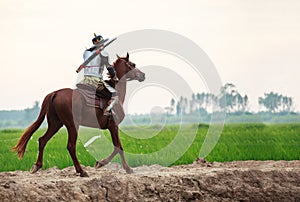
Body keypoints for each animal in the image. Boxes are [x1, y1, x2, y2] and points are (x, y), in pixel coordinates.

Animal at [12, 53, 146, 177]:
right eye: (132, 64)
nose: (143, 75)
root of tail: (55, 93)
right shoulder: (113, 126)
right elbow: (119, 147)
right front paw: (123, 168)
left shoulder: (112, 127)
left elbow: (117, 147)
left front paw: (102, 163)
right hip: (72, 125)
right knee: (70, 146)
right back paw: (81, 171)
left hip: (55, 124)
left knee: (42, 140)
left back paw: (37, 166)